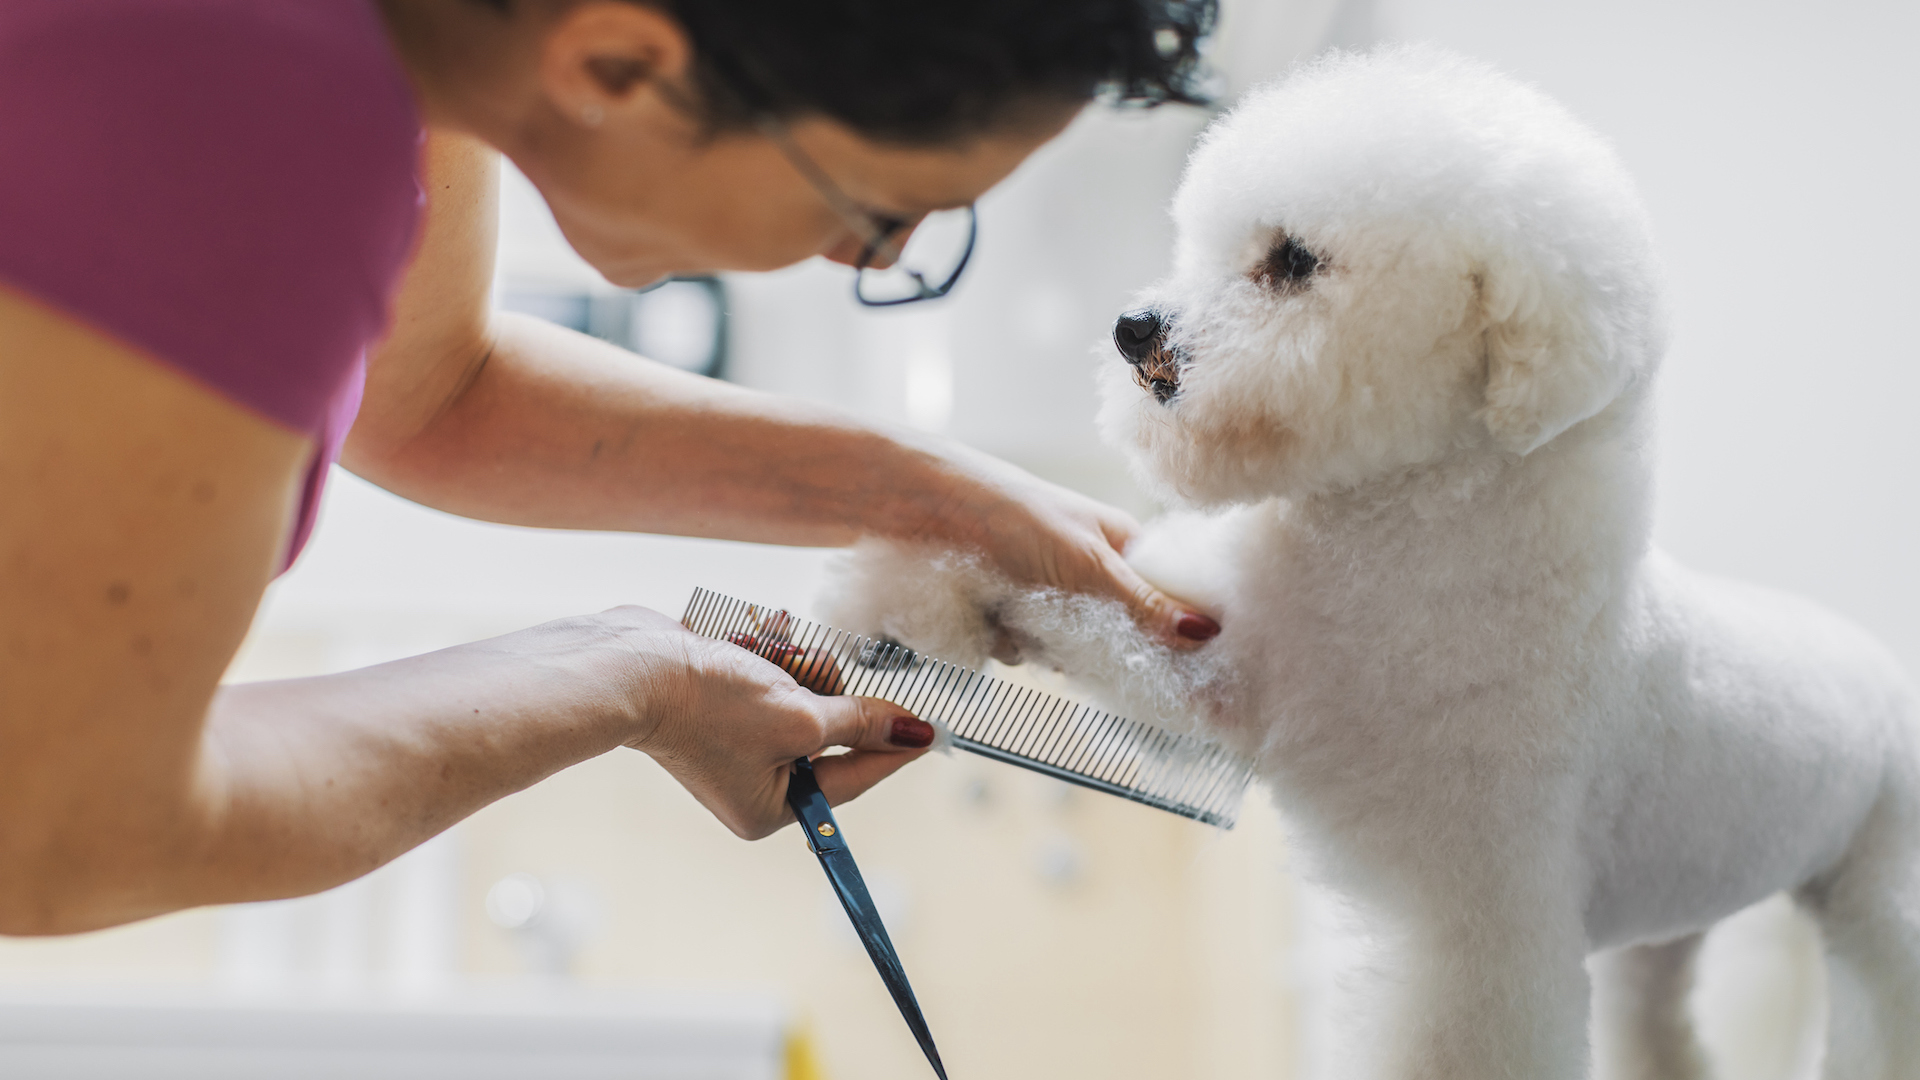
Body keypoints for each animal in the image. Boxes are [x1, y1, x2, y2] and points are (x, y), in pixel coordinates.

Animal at [833, 46, 1920, 1076]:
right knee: (1658, 1023)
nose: (1134, 328)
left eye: (1293, 259)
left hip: (1883, 907)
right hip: (1661, 937)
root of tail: (1882, 669)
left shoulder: (1471, 931)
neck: (1385, 549)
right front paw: (907, 601)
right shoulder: (1223, 670)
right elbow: (1088, 606)